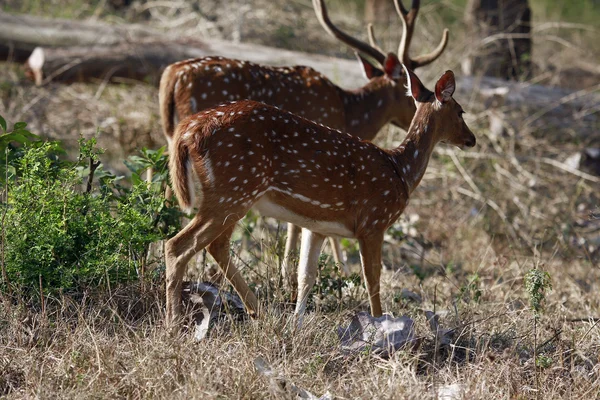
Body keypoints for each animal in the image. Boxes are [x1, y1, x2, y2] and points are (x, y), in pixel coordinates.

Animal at [159, 0, 450, 288]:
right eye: (408, 88)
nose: (415, 113)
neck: (349, 114)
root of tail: (171, 75)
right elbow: (303, 223)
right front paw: (324, 269)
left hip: (173, 142)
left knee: (168, 186)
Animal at [164, 66, 474, 328]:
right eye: (461, 112)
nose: (471, 139)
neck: (401, 170)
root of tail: (188, 131)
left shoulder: (318, 226)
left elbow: (306, 276)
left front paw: (297, 323)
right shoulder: (374, 222)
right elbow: (372, 280)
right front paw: (379, 325)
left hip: (231, 193)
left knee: (215, 245)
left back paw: (259, 312)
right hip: (234, 189)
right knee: (178, 245)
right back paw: (174, 323)